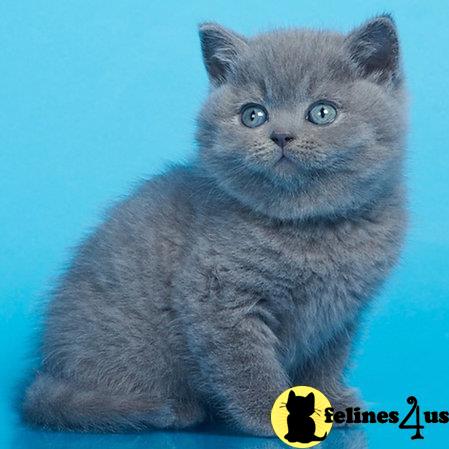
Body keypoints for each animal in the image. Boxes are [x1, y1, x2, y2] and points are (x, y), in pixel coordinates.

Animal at [21, 15, 406, 436]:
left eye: (322, 112)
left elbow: (326, 362)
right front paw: (271, 414)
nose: (281, 136)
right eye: (253, 115)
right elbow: (247, 365)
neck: (309, 229)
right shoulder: (218, 299)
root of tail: (51, 375)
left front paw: (330, 401)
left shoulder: (340, 315)